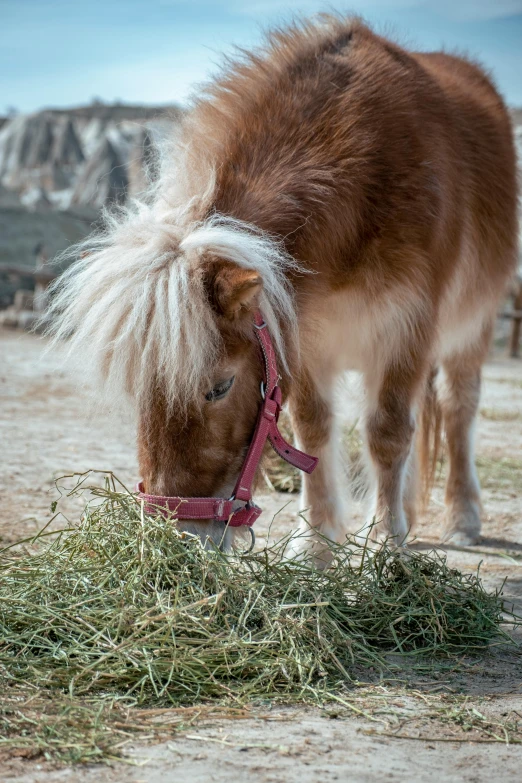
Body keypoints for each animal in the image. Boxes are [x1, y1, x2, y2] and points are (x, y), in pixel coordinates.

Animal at [47, 15, 516, 568]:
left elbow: (386, 434)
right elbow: (312, 430)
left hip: (470, 331)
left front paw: (383, 547)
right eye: (139, 390)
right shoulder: (304, 338)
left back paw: (462, 518)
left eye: (220, 387)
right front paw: (315, 543)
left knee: (458, 409)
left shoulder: (405, 328)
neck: (360, 170)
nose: (178, 541)